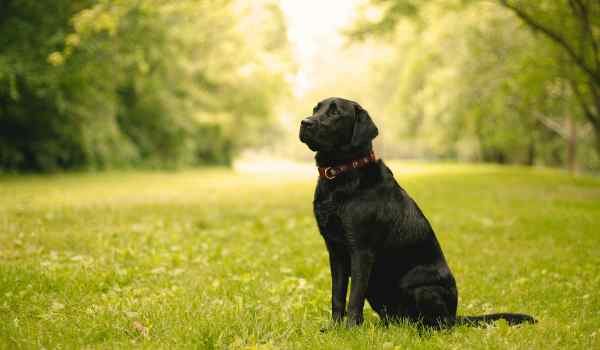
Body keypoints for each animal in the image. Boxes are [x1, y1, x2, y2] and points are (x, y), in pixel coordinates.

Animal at [298, 96, 536, 328]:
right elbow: (337, 295)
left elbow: (354, 297)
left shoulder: (361, 250)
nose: (304, 122)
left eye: (335, 112)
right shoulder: (336, 250)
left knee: (439, 324)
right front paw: (335, 328)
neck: (342, 176)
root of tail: (455, 315)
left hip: (423, 289)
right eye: (316, 109)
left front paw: (350, 329)